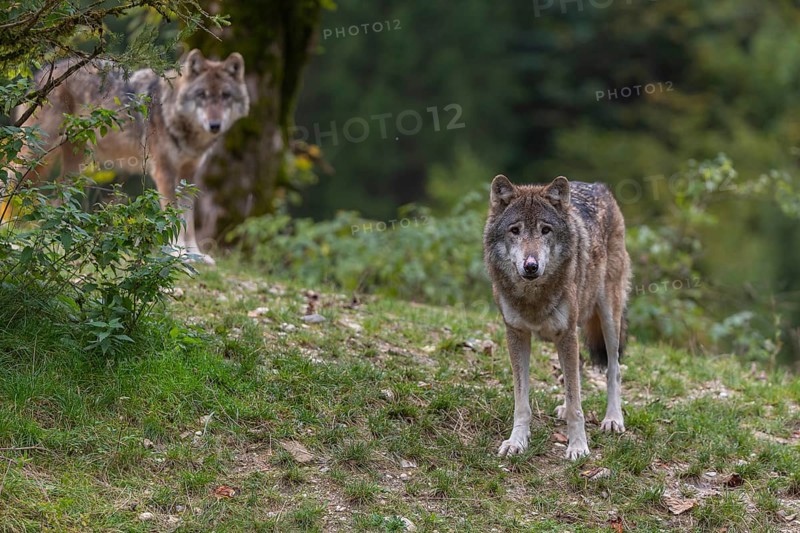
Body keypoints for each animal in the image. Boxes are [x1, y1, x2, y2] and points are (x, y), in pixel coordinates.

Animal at [13, 49, 250, 264]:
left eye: (225, 96)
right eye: (202, 95)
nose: (215, 125)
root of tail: (44, 71)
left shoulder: (189, 175)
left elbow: (187, 219)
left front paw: (194, 254)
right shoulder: (164, 171)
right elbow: (172, 216)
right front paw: (176, 253)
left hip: (75, 165)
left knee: (59, 196)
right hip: (37, 152)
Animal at [484, 175, 631, 460]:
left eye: (545, 230)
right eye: (515, 230)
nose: (531, 266)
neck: (533, 297)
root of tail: (597, 185)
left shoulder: (567, 333)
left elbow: (577, 404)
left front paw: (578, 446)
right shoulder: (516, 333)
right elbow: (522, 402)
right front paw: (517, 441)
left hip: (608, 316)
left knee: (614, 369)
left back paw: (613, 419)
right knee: (578, 370)